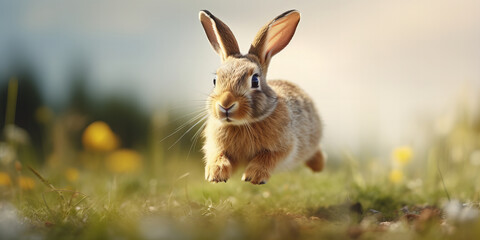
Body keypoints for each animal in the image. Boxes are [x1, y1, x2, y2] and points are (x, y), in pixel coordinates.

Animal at [199, 9, 326, 186]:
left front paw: (253, 177)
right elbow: (218, 155)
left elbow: (267, 157)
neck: (242, 124)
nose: (225, 104)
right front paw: (215, 174)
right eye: (215, 80)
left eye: (255, 81)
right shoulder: (216, 146)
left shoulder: (284, 147)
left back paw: (318, 166)